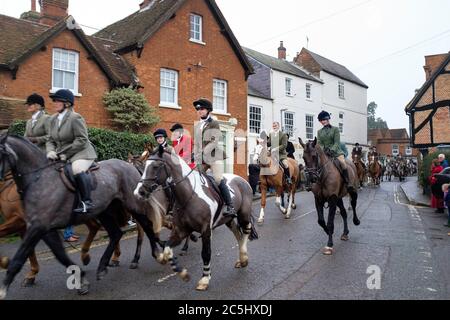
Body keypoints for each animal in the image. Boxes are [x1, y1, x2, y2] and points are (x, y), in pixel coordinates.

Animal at [0, 134, 163, 298]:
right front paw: (81, 278)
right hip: (105, 211)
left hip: (132, 205)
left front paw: (3, 288)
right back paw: (102, 265)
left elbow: (19, 258)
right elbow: (60, 254)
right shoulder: (43, 228)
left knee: (145, 226)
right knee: (116, 233)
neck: (39, 179)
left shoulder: (37, 226)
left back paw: (156, 253)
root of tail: (130, 166)